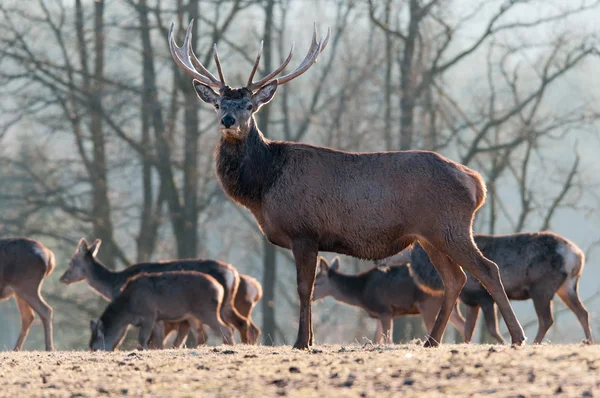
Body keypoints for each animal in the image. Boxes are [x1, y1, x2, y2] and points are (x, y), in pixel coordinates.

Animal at [89, 270, 234, 352]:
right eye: (90, 347)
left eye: (95, 348)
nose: (92, 349)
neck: (128, 309)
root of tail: (219, 289)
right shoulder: (157, 318)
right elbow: (158, 339)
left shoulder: (149, 313)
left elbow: (143, 338)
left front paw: (144, 350)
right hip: (193, 315)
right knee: (201, 334)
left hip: (207, 310)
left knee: (227, 328)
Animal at [312, 256, 466, 344]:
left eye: (316, 282)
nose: (311, 297)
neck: (361, 293)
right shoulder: (380, 314)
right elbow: (377, 339)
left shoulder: (384, 309)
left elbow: (388, 340)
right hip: (450, 307)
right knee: (462, 323)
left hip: (428, 304)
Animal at [408, 232, 592, 344]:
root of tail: (577, 256)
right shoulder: (471, 300)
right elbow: (468, 328)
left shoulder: (483, 297)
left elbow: (491, 328)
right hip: (567, 286)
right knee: (582, 312)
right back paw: (588, 340)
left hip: (542, 287)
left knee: (547, 319)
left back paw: (534, 342)